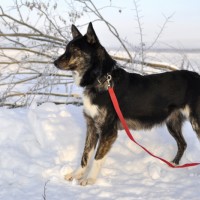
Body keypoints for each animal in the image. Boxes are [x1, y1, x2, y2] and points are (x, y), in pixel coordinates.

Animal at [54, 22, 200, 186]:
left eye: (75, 50)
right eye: (67, 48)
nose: (54, 62)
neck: (101, 79)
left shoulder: (108, 131)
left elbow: (97, 158)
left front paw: (90, 179)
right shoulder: (92, 126)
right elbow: (85, 155)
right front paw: (76, 174)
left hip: (196, 122)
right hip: (173, 123)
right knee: (183, 144)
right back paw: (173, 164)